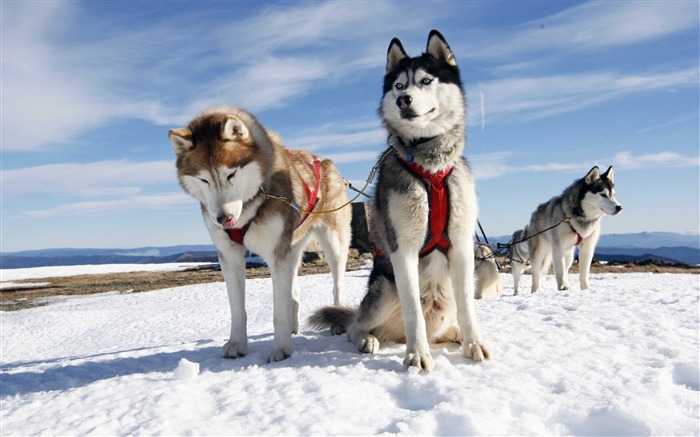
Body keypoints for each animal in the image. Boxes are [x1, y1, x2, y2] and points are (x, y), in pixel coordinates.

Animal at [170, 105, 350, 362]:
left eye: (231, 174)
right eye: (203, 179)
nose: (223, 219)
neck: (251, 203)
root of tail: (322, 160)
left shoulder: (276, 254)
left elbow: (278, 311)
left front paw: (281, 350)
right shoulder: (230, 254)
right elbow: (238, 309)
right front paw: (237, 343)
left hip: (333, 243)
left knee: (336, 284)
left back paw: (336, 318)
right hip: (292, 245)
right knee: (293, 287)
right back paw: (294, 325)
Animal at [308, 29, 490, 372]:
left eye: (426, 81)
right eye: (398, 86)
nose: (402, 100)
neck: (430, 166)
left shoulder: (461, 246)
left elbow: (469, 308)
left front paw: (475, 344)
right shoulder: (403, 249)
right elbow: (413, 312)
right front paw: (416, 356)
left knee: (447, 322)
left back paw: (456, 334)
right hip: (384, 287)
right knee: (356, 326)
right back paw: (367, 339)